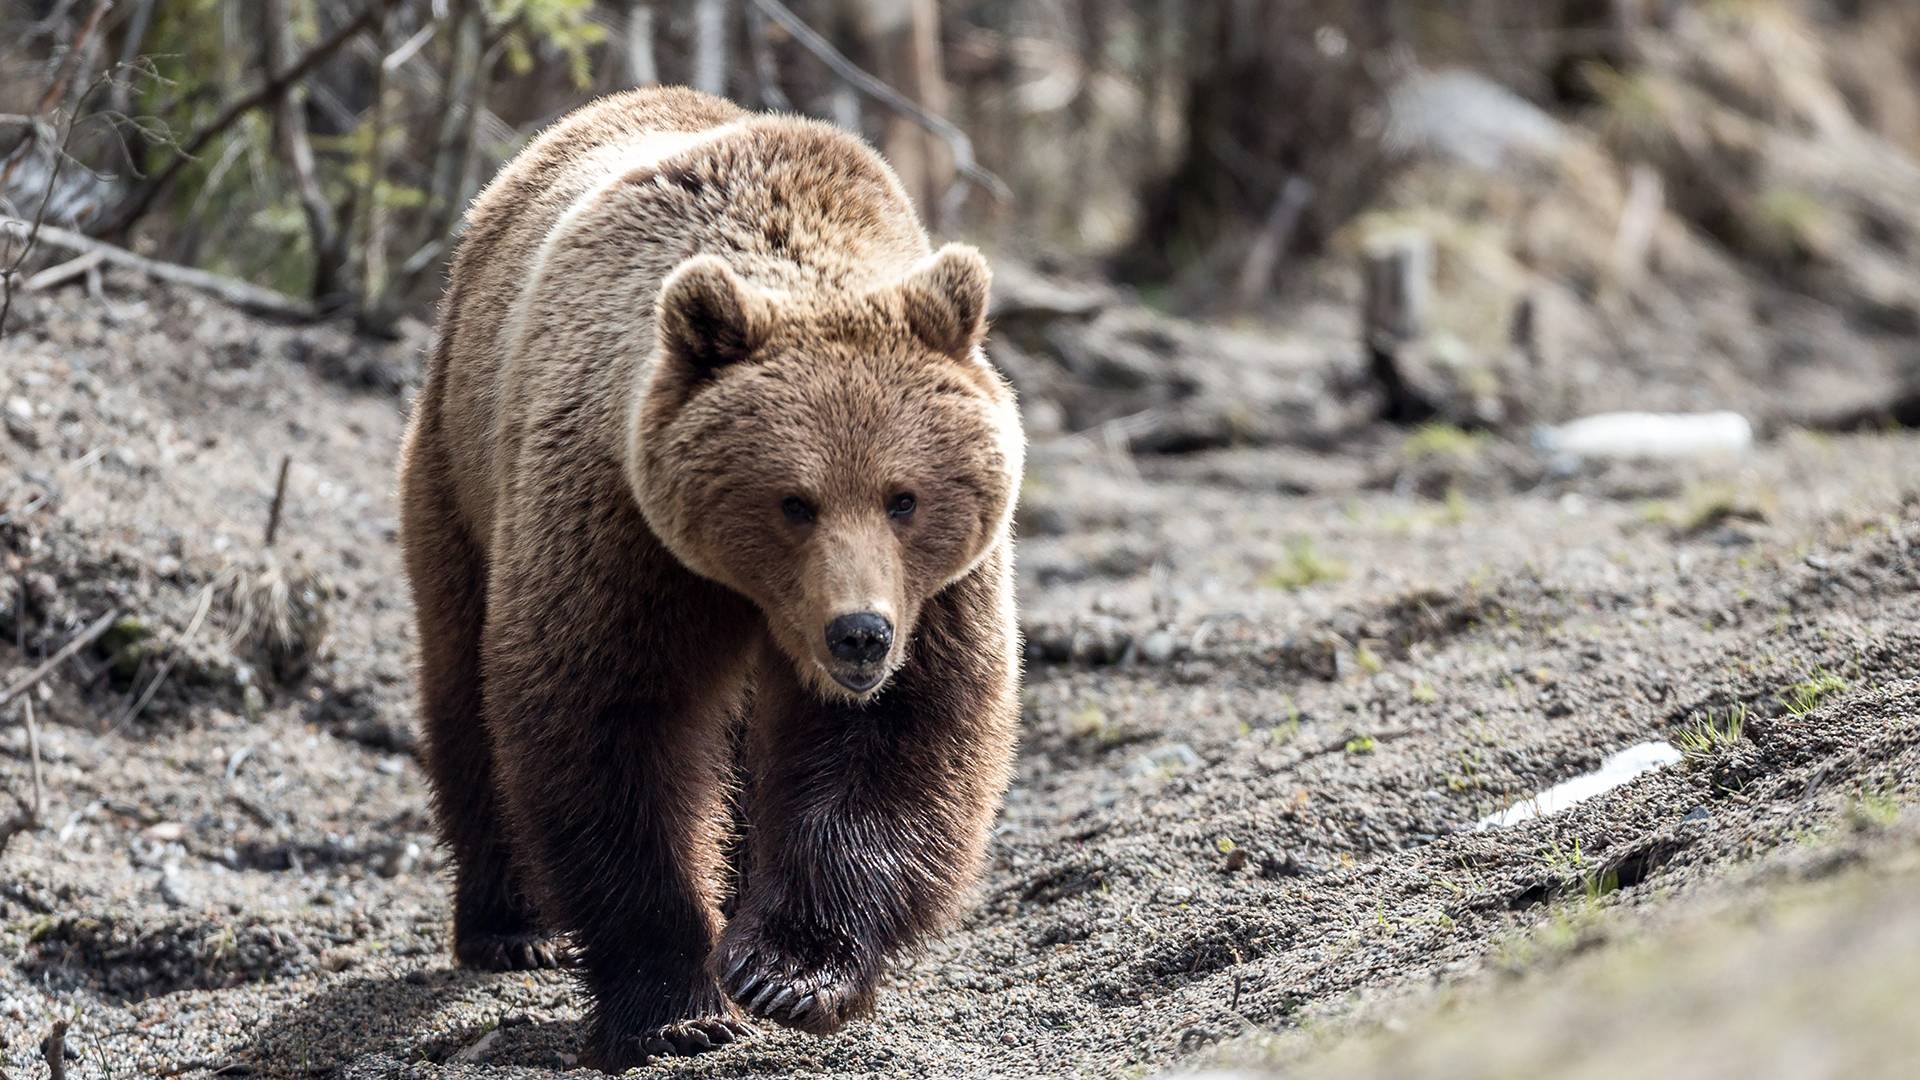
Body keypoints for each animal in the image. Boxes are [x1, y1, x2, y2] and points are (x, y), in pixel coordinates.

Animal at [387, 85, 1021, 1068]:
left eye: (904, 497)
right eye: (794, 501)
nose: (859, 635)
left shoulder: (942, 593)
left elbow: (901, 735)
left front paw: (786, 970)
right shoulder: (620, 530)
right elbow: (610, 726)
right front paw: (674, 1003)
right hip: (459, 470)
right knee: (462, 685)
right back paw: (510, 925)